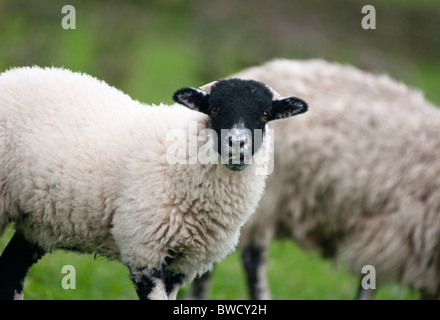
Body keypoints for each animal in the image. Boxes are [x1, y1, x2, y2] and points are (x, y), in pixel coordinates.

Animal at [0, 65, 308, 300]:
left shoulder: (182, 264)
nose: (237, 146)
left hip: (37, 222)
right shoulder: (144, 249)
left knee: (11, 270)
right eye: (215, 109)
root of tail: (12, 74)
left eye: (265, 115)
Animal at [187, 58, 440, 302]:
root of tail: (253, 69)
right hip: (269, 197)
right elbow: (367, 283)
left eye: (265, 114)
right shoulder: (392, 231)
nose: (237, 145)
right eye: (216, 109)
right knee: (249, 257)